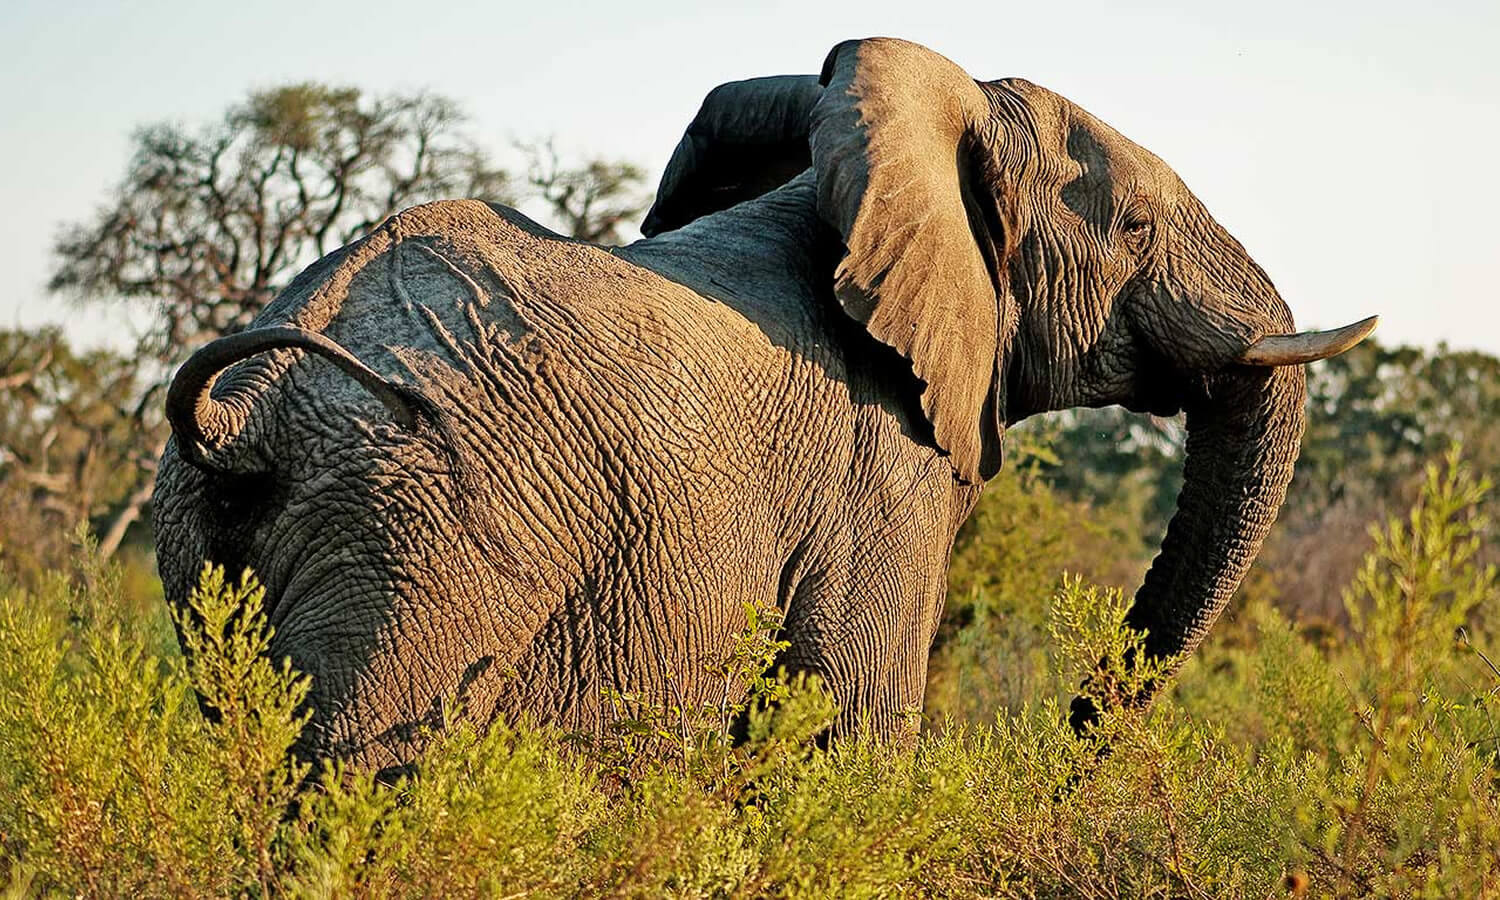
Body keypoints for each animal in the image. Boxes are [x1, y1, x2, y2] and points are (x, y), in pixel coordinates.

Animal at [155, 33, 1380, 765]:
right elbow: (855, 727)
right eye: (1130, 225)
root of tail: (245, 418)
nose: (1073, 727)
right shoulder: (878, 465)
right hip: (420, 545)